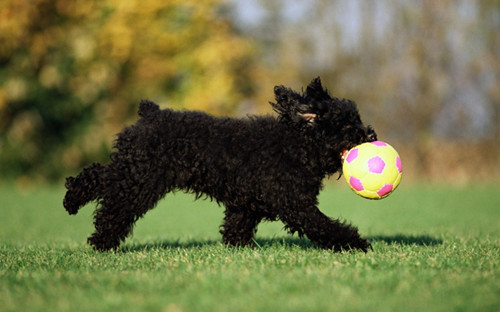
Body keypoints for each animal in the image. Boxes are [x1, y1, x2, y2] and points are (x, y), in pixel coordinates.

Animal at [63, 77, 376, 251]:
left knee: (100, 177)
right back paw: (96, 234)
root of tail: (149, 114)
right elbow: (324, 226)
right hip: (139, 179)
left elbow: (236, 228)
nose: (371, 135)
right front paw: (356, 243)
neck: (296, 144)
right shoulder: (296, 205)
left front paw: (240, 248)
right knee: (109, 200)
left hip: (134, 172)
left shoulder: (246, 203)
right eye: (347, 125)